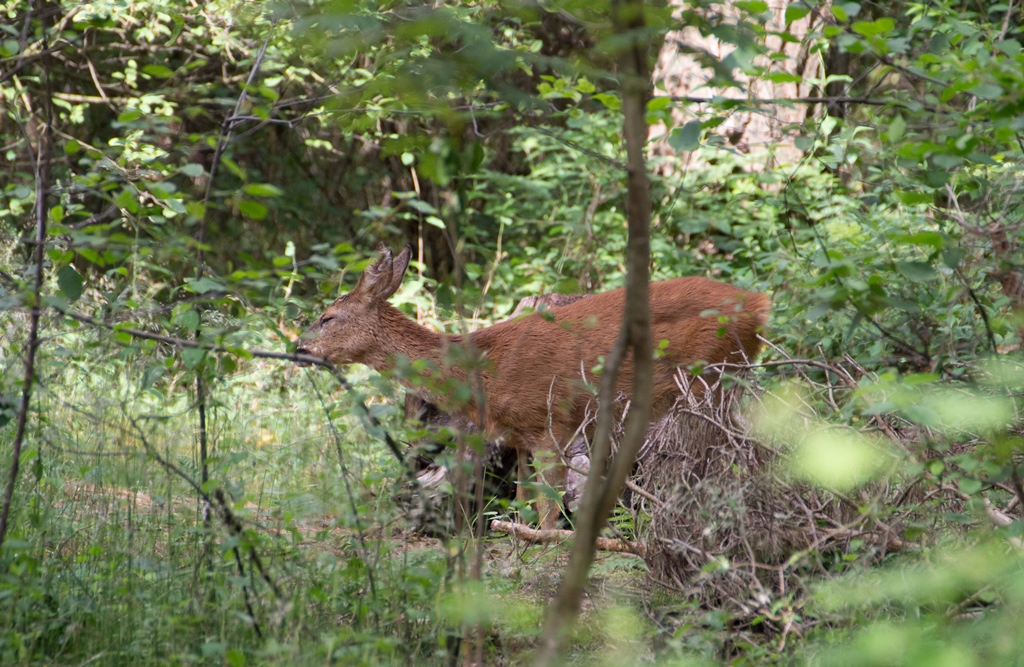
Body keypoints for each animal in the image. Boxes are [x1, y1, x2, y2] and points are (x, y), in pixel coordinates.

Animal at [296, 247, 770, 528]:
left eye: (328, 317)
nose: (299, 346)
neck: (485, 370)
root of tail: (759, 304)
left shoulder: (551, 423)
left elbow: (546, 507)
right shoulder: (519, 437)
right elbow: (524, 500)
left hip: (711, 377)